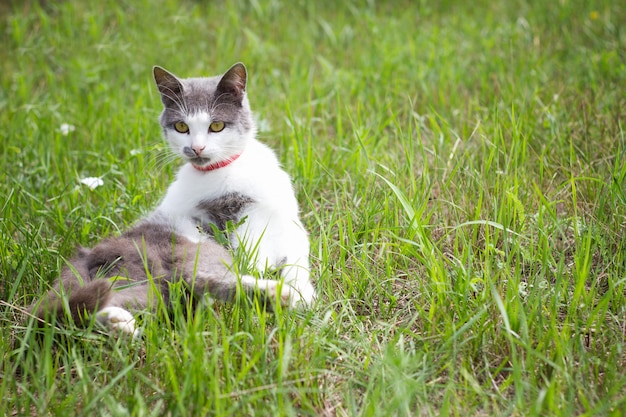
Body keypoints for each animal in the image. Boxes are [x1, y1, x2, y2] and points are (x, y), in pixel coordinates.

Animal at [149, 63, 314, 308]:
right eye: (181, 126)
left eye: (217, 125)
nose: (196, 148)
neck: (219, 174)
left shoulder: (277, 214)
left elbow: (293, 255)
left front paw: (302, 295)